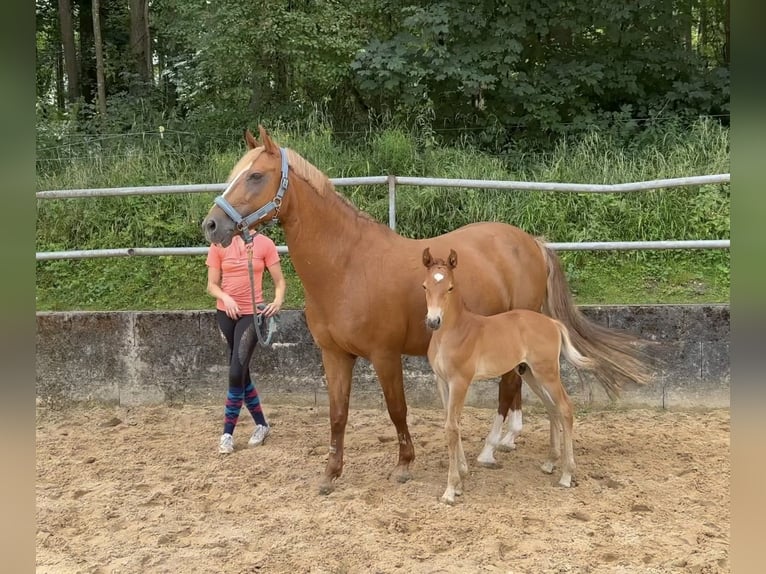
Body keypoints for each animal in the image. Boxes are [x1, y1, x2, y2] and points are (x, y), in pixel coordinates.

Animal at [424, 248, 596, 504]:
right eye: (425, 286)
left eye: (450, 287)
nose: (433, 321)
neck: (453, 332)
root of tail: (552, 322)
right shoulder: (442, 381)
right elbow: (451, 423)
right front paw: (460, 479)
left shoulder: (460, 382)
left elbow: (452, 427)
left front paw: (450, 490)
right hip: (531, 373)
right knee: (552, 407)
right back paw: (549, 463)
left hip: (547, 372)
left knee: (565, 407)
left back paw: (566, 475)